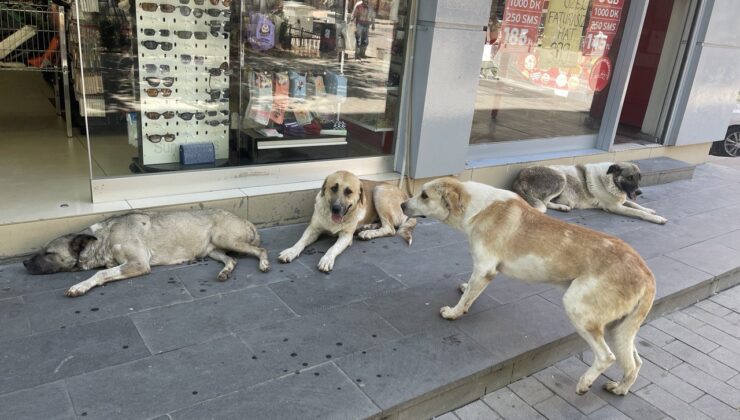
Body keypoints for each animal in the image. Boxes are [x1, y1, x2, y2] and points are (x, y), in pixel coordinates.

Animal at [22, 209, 272, 296]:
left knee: (261, 249)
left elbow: (100, 273)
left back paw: (264, 263)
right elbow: (105, 271)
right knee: (232, 260)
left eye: (48, 253)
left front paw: (80, 286)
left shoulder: (139, 264)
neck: (105, 238)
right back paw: (224, 272)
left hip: (225, 238)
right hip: (212, 251)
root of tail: (245, 220)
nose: (24, 264)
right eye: (41, 250)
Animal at [278, 171, 416, 272]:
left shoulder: (346, 236)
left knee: (390, 228)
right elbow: (301, 242)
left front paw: (327, 259)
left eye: (348, 192)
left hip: (379, 191)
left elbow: (332, 248)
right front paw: (291, 251)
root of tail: (405, 196)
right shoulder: (313, 229)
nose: (336, 208)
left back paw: (368, 233)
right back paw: (367, 227)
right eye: (333, 188)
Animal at [404, 178, 652, 398]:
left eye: (424, 195)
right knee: (636, 362)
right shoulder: (486, 272)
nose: (402, 205)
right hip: (618, 329)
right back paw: (620, 389)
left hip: (579, 308)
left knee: (606, 357)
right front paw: (466, 291)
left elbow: (466, 299)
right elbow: (472, 291)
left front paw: (454, 312)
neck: (477, 206)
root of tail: (646, 273)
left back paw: (585, 383)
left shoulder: (484, 267)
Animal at [512, 162, 668, 225]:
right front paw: (658, 218)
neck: (611, 180)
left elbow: (636, 206)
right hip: (561, 177)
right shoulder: (615, 207)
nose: (640, 192)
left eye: (639, 177)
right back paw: (562, 207)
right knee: (545, 203)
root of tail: (519, 177)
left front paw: (650, 210)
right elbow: (637, 212)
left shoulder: (621, 201)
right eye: (630, 177)